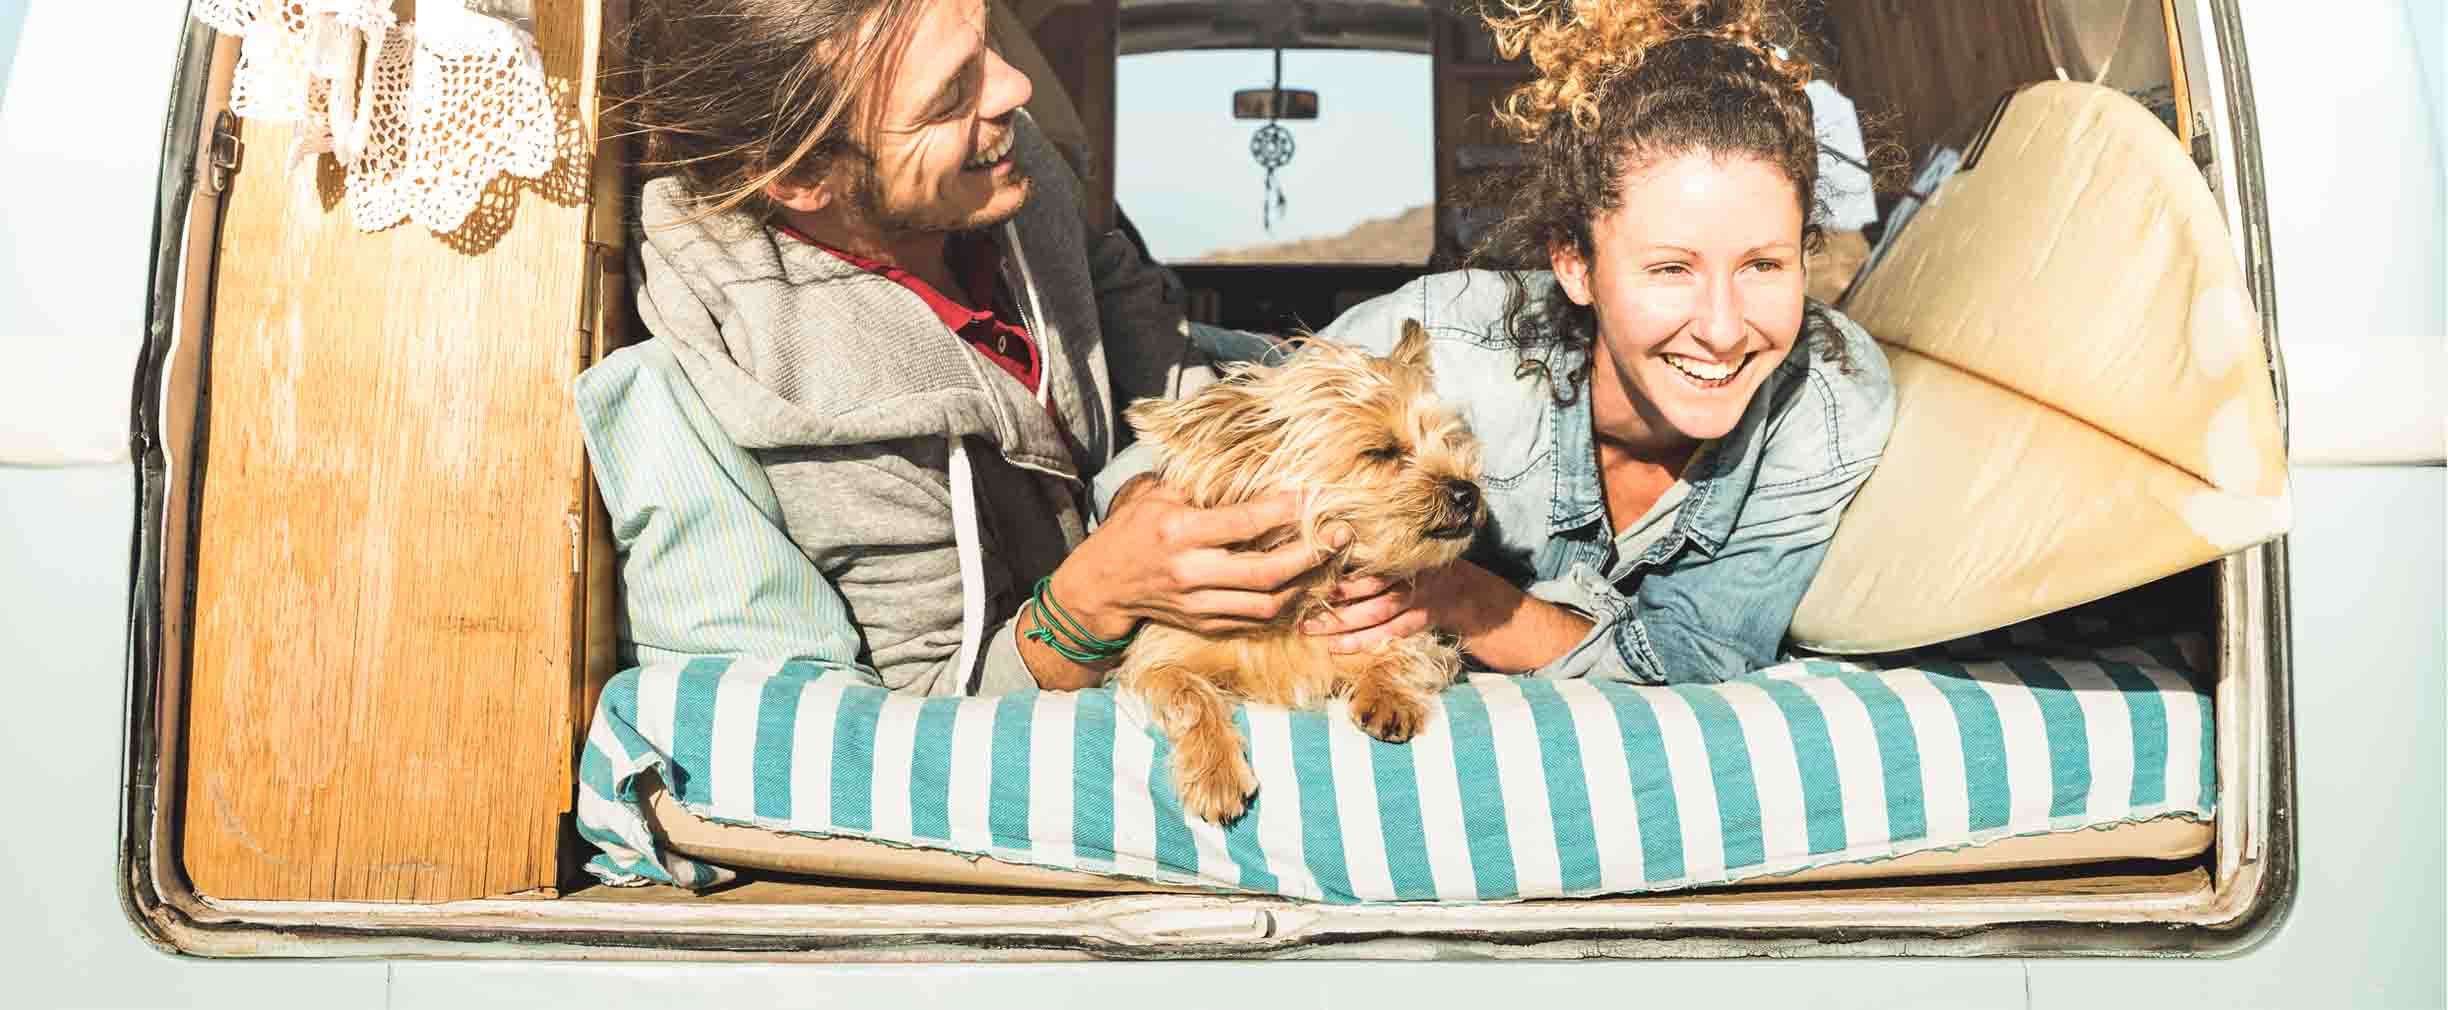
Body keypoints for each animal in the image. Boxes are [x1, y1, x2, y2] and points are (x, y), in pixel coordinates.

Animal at [1121, 317, 1478, 821]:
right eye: (1381, 452)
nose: (1469, 492)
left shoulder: (1418, 635)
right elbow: (1187, 693)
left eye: (1451, 441)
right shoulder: (1161, 652)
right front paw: (1216, 771)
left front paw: (1387, 692)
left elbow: (1405, 650)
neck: (1308, 596)